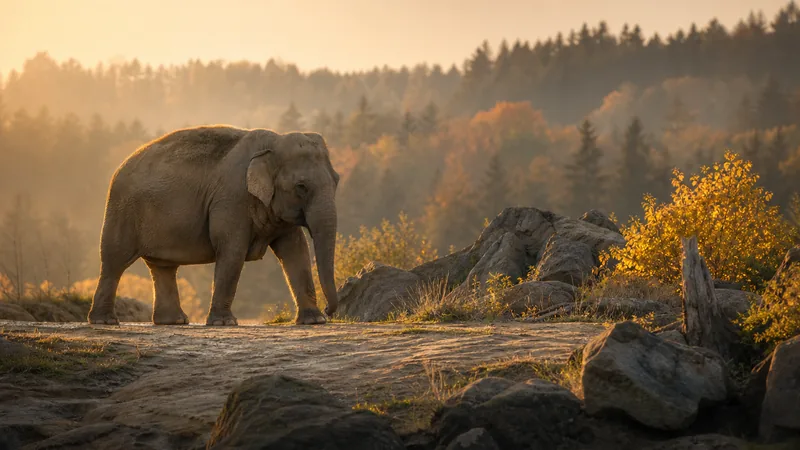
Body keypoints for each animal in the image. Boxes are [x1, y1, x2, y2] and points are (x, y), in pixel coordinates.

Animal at [87, 125, 340, 326]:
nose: (329, 310)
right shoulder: (231, 199)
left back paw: (174, 321)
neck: (274, 141)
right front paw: (225, 323)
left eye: (337, 180)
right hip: (121, 210)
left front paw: (315, 320)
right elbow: (232, 251)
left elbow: (296, 251)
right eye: (301, 187)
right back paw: (105, 321)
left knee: (163, 267)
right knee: (114, 262)